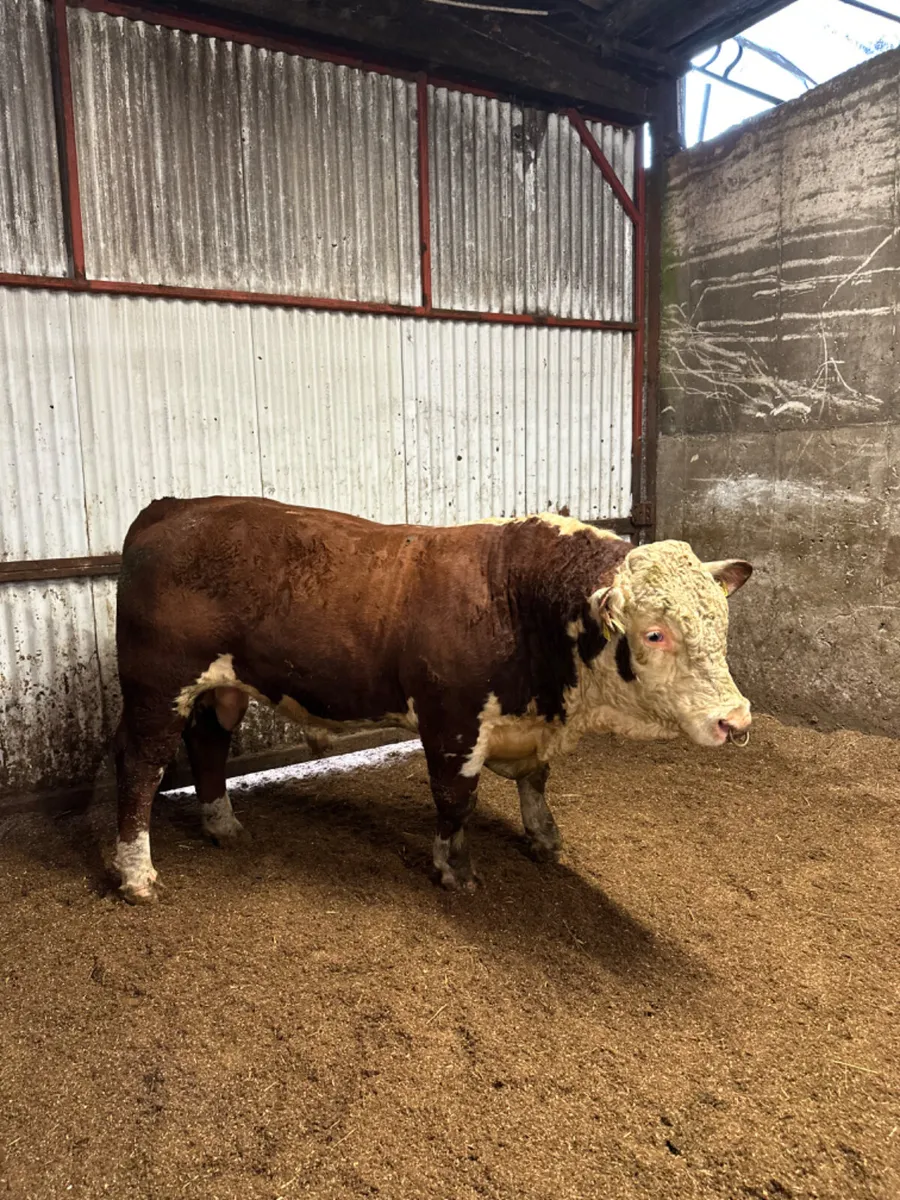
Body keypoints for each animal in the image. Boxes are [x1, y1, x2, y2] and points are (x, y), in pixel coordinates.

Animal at [112, 497, 752, 904]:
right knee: (140, 767)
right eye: (654, 633)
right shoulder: (452, 723)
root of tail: (173, 507)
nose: (736, 719)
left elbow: (536, 781)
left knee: (208, 744)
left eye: (721, 623)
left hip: (220, 689)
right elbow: (455, 800)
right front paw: (455, 869)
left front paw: (544, 838)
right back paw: (137, 875)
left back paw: (222, 824)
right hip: (155, 687)